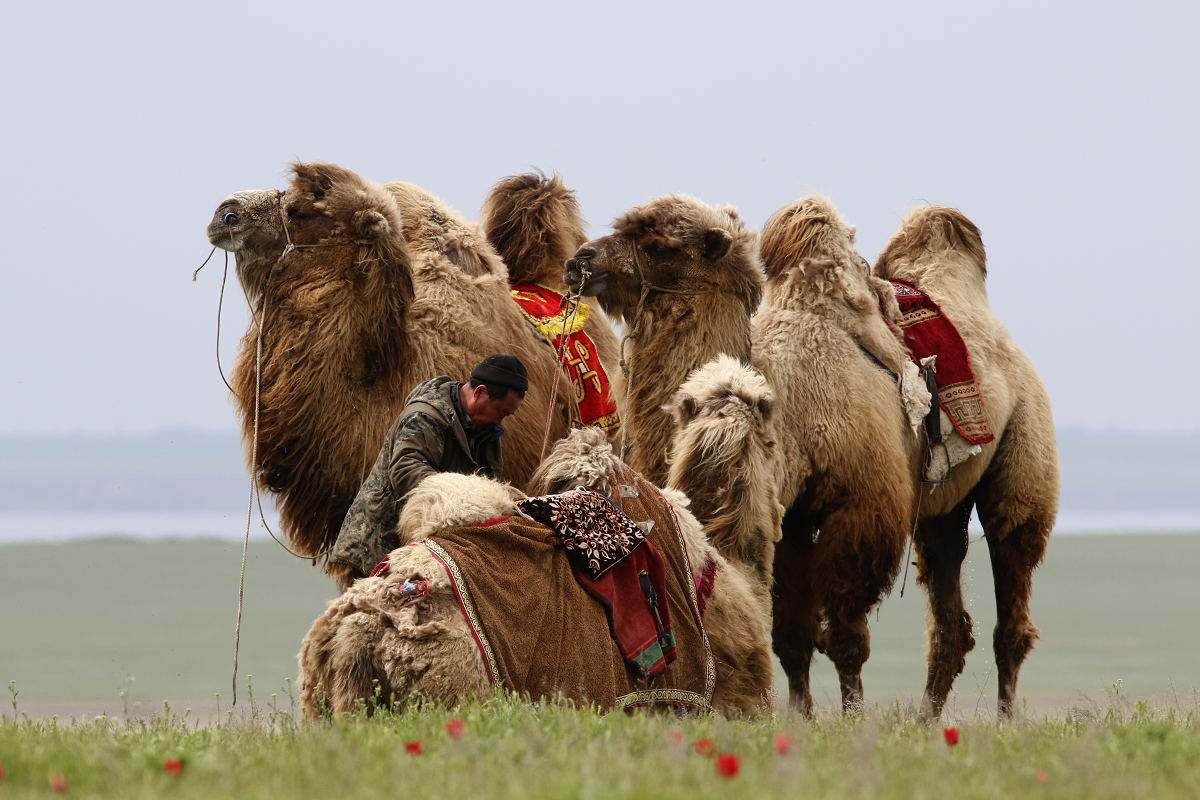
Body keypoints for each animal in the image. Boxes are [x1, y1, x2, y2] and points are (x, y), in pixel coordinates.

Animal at [753, 196, 1056, 724]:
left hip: (1023, 451)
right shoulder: (789, 515)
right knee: (950, 607)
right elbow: (792, 635)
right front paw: (801, 717)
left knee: (1012, 573)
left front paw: (853, 718)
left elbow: (846, 635)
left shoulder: (862, 507)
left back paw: (1004, 720)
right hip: (942, 504)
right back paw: (926, 719)